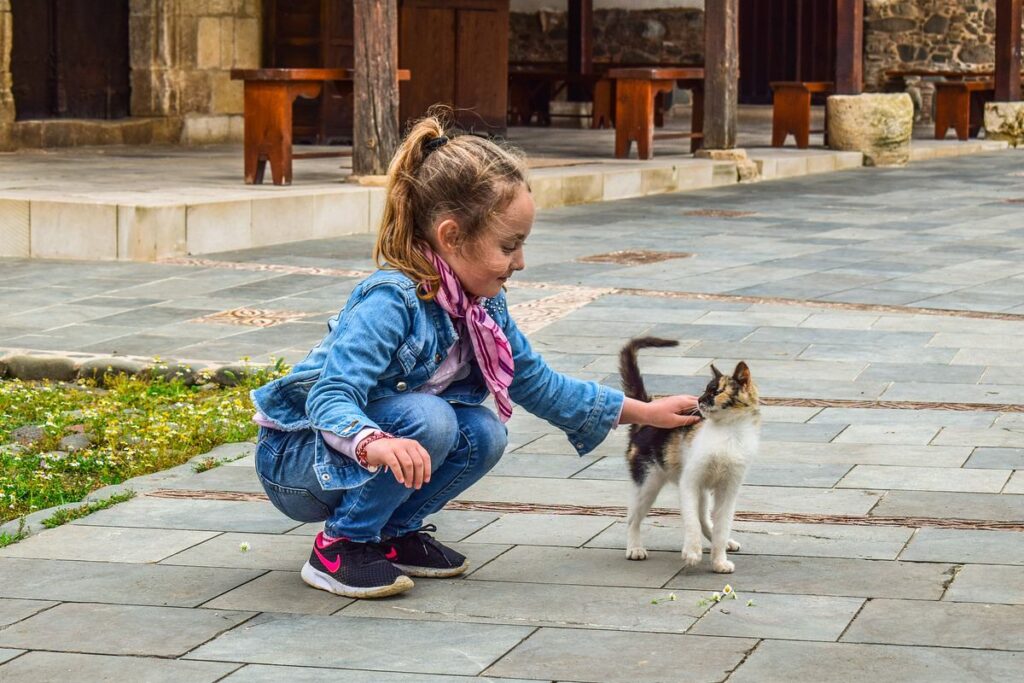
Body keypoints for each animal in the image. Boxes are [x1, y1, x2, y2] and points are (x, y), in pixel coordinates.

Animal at [614, 339, 761, 573]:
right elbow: (690, 521)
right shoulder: (689, 481)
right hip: (647, 481)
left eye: (715, 391)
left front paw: (719, 561)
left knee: (705, 519)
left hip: (702, 491)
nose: (699, 400)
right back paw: (635, 548)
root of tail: (647, 413)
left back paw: (724, 542)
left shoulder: (729, 488)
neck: (728, 431)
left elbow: (722, 525)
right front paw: (692, 552)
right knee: (632, 517)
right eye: (704, 390)